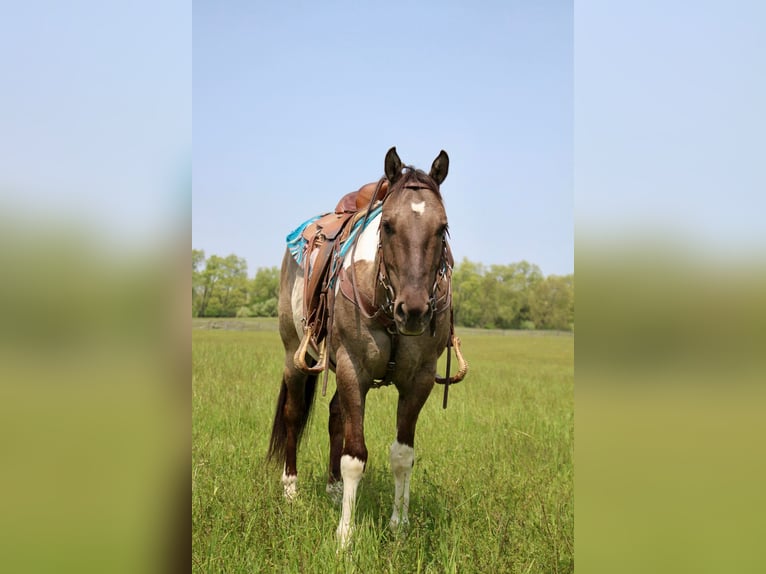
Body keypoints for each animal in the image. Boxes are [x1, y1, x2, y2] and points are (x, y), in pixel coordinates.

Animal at [270, 146, 468, 548]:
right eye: (388, 225)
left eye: (442, 227)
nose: (414, 310)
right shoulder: (352, 367)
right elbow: (355, 456)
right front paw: (345, 536)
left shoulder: (419, 379)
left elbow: (402, 455)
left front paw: (399, 524)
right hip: (295, 356)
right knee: (294, 415)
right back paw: (291, 489)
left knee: (334, 416)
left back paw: (332, 490)